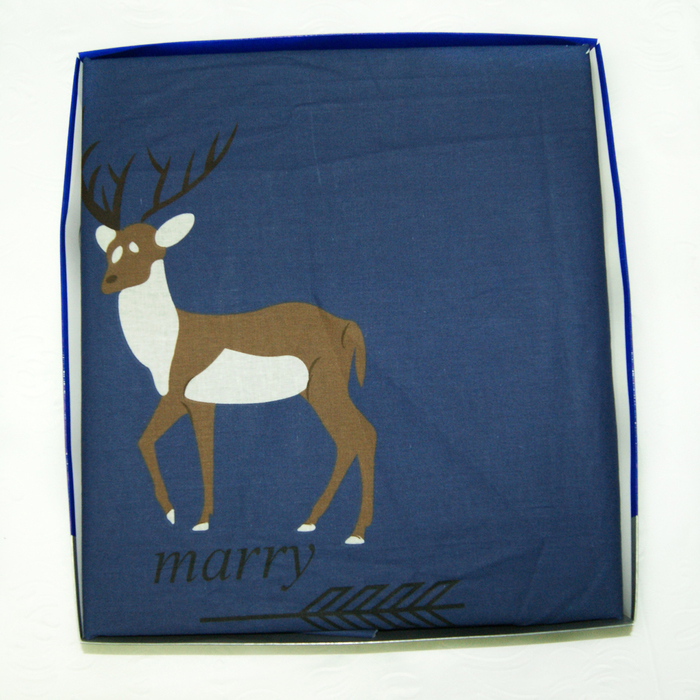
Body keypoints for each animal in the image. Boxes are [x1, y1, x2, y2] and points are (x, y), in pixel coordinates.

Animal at [82, 128, 376, 545]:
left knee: (362, 435)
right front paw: (175, 513)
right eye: (110, 249)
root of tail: (346, 324)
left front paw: (196, 519)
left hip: (326, 386)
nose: (107, 283)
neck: (169, 337)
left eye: (140, 247)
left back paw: (355, 532)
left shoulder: (190, 398)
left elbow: (203, 458)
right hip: (315, 391)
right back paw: (312, 521)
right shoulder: (182, 400)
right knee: (350, 440)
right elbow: (144, 440)